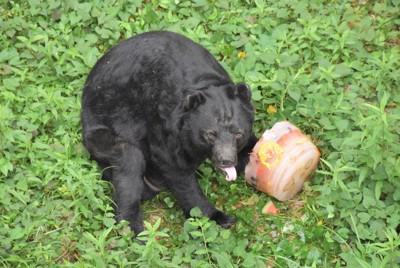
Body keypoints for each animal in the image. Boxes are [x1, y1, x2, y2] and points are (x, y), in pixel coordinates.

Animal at [81, 31, 256, 236]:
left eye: (239, 134)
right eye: (210, 134)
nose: (226, 160)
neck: (204, 83)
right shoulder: (166, 123)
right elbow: (175, 168)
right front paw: (218, 217)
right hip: (102, 132)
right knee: (129, 165)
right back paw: (136, 231)